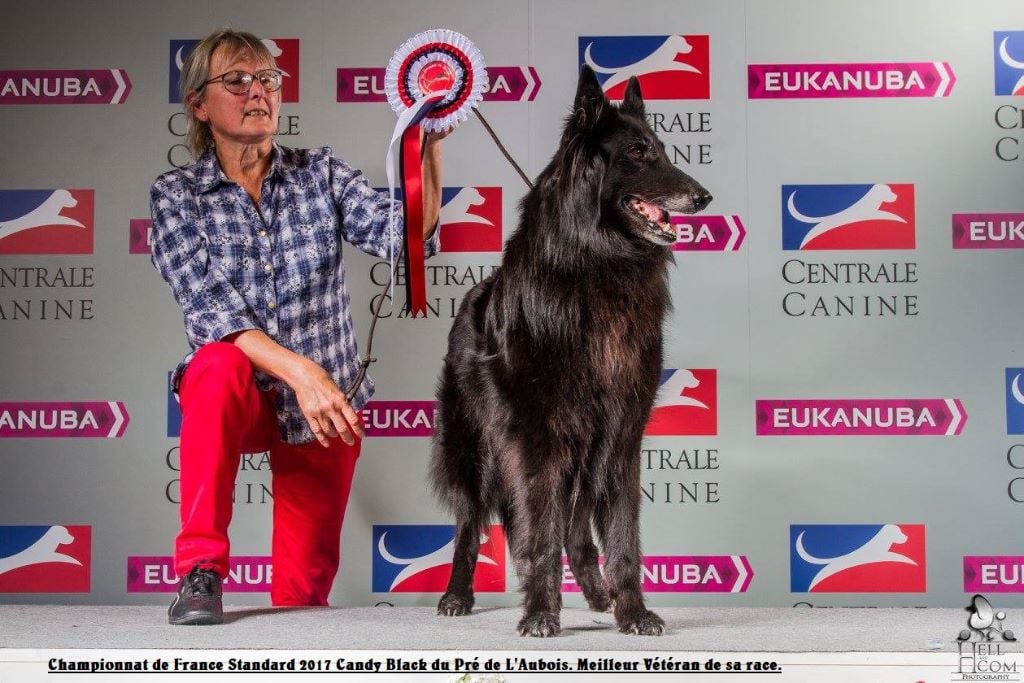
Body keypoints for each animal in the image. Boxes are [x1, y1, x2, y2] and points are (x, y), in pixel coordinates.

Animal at [430, 66, 712, 638]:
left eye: (663, 150)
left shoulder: (622, 434)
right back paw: (457, 594)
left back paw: (599, 595)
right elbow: (539, 533)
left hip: (584, 456)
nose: (703, 198)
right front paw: (541, 611)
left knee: (577, 532)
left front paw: (632, 610)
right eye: (639, 152)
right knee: (471, 524)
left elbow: (621, 536)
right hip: (475, 447)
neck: (596, 266)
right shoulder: (538, 438)